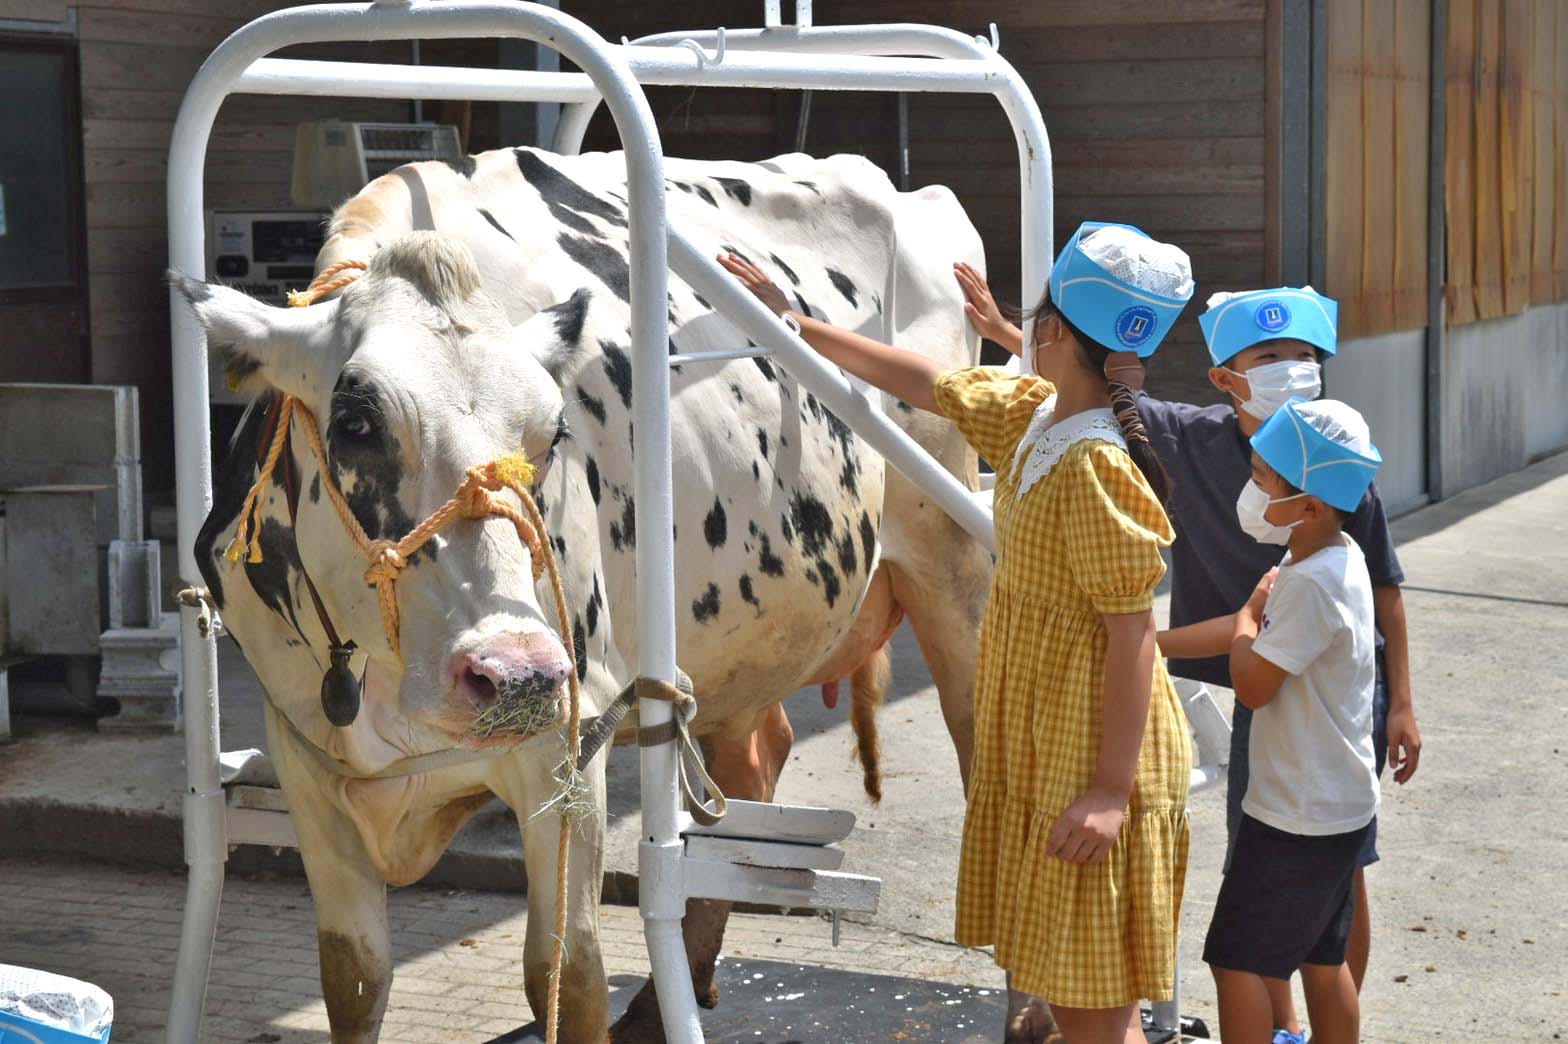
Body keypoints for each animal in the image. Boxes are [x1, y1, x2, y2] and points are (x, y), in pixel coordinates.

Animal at [174, 148, 990, 1040]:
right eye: (355, 423)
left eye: (552, 433)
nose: (517, 673)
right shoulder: (305, 757)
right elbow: (354, 978)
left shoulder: (567, 745)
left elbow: (567, 974)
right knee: (758, 755)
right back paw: (670, 999)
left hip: (955, 567)